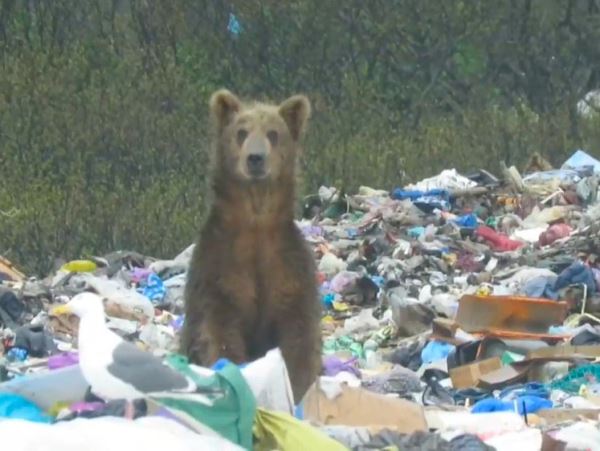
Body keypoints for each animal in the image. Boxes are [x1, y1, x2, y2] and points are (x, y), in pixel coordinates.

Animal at [180, 90, 324, 404]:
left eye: (273, 133)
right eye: (241, 132)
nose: (255, 158)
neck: (256, 225)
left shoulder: (289, 268)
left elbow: (299, 337)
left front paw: (298, 389)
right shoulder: (219, 268)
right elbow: (218, 331)